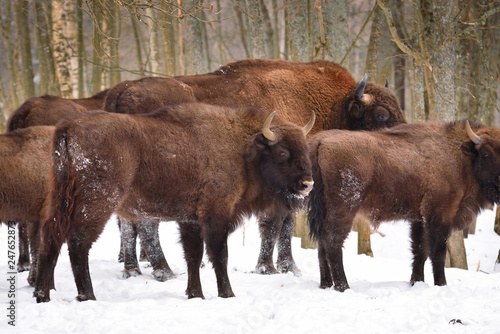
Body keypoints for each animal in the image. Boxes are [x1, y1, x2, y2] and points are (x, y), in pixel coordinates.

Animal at [34, 103, 316, 302]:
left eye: (305, 149)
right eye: (282, 152)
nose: (307, 184)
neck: (242, 147)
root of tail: (68, 127)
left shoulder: (190, 220)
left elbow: (193, 255)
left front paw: (195, 294)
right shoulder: (216, 215)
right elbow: (219, 255)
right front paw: (227, 294)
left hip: (60, 198)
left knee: (51, 235)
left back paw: (42, 294)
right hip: (98, 202)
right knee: (78, 242)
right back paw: (87, 296)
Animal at [104, 58, 406, 276]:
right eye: (381, 114)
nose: (402, 137)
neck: (332, 105)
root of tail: (123, 90)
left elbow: (285, 225)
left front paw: (289, 266)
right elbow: (273, 224)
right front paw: (268, 267)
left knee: (129, 220)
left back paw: (132, 269)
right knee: (146, 221)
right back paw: (162, 270)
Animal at [308, 120, 500, 292]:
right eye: (485, 154)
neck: (459, 157)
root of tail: (320, 141)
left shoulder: (419, 219)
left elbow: (420, 250)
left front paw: (417, 282)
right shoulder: (439, 216)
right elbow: (437, 253)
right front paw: (441, 285)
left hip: (325, 209)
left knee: (322, 241)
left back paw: (326, 284)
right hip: (344, 208)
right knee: (333, 240)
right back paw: (343, 286)